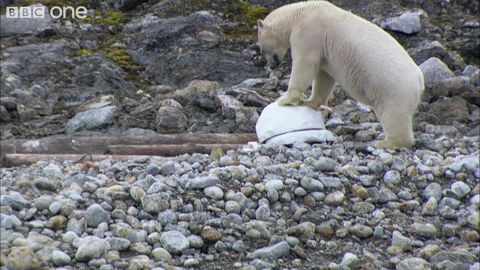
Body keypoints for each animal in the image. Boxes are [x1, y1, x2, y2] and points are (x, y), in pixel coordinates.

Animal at [256, 1, 426, 149]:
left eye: (262, 49)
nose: (272, 65)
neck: (300, 13)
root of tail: (420, 80)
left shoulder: (310, 32)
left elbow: (305, 63)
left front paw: (284, 99)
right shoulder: (324, 50)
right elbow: (324, 76)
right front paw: (308, 102)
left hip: (394, 88)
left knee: (393, 115)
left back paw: (384, 142)